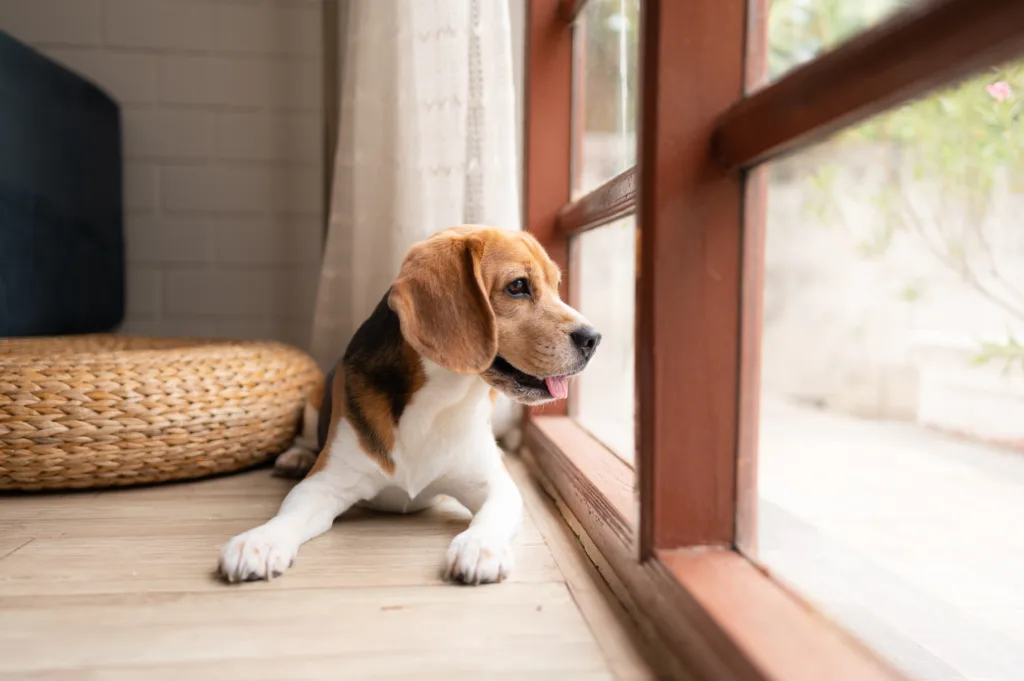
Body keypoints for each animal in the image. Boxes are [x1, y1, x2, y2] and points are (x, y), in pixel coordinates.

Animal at [216, 227, 598, 585]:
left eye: (556, 286)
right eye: (517, 286)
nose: (594, 338)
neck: (439, 401)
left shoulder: (495, 486)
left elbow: (491, 516)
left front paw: (479, 547)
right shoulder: (324, 484)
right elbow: (287, 515)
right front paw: (260, 541)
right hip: (313, 397)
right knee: (305, 438)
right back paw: (295, 457)